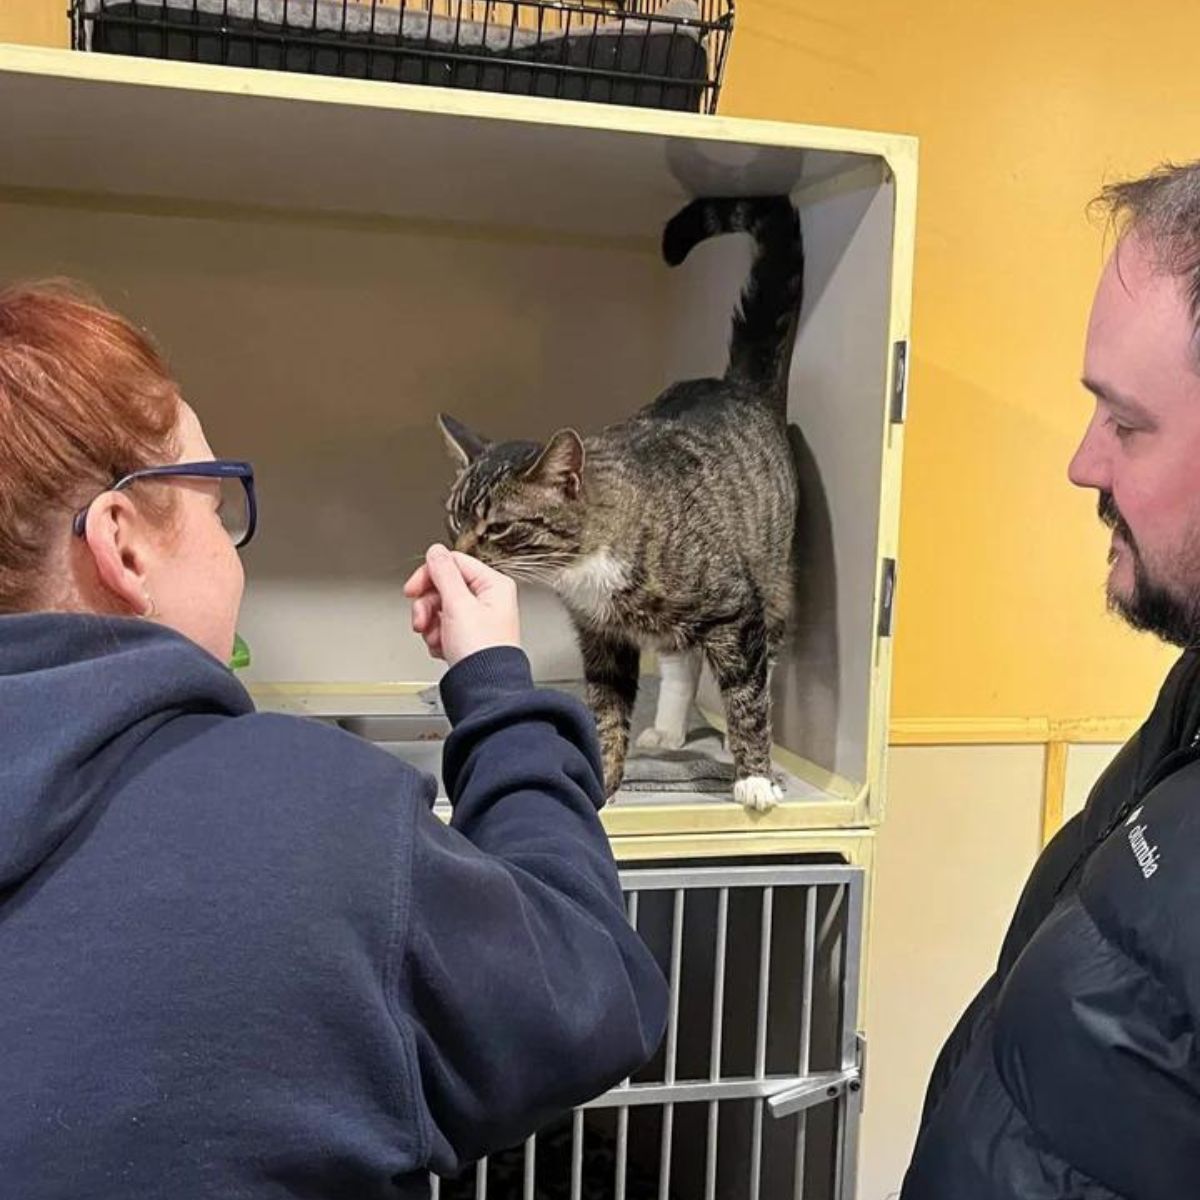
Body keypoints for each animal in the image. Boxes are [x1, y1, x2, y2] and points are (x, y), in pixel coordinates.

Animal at [436, 196, 801, 811]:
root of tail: (735, 384)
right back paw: (670, 730)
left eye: (499, 527)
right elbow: (605, 714)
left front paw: (754, 774)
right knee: (680, 660)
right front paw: (601, 782)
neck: (584, 568)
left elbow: (747, 698)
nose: (456, 552)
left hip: (769, 577)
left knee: (758, 664)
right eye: (454, 517)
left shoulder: (735, 605)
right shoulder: (601, 637)